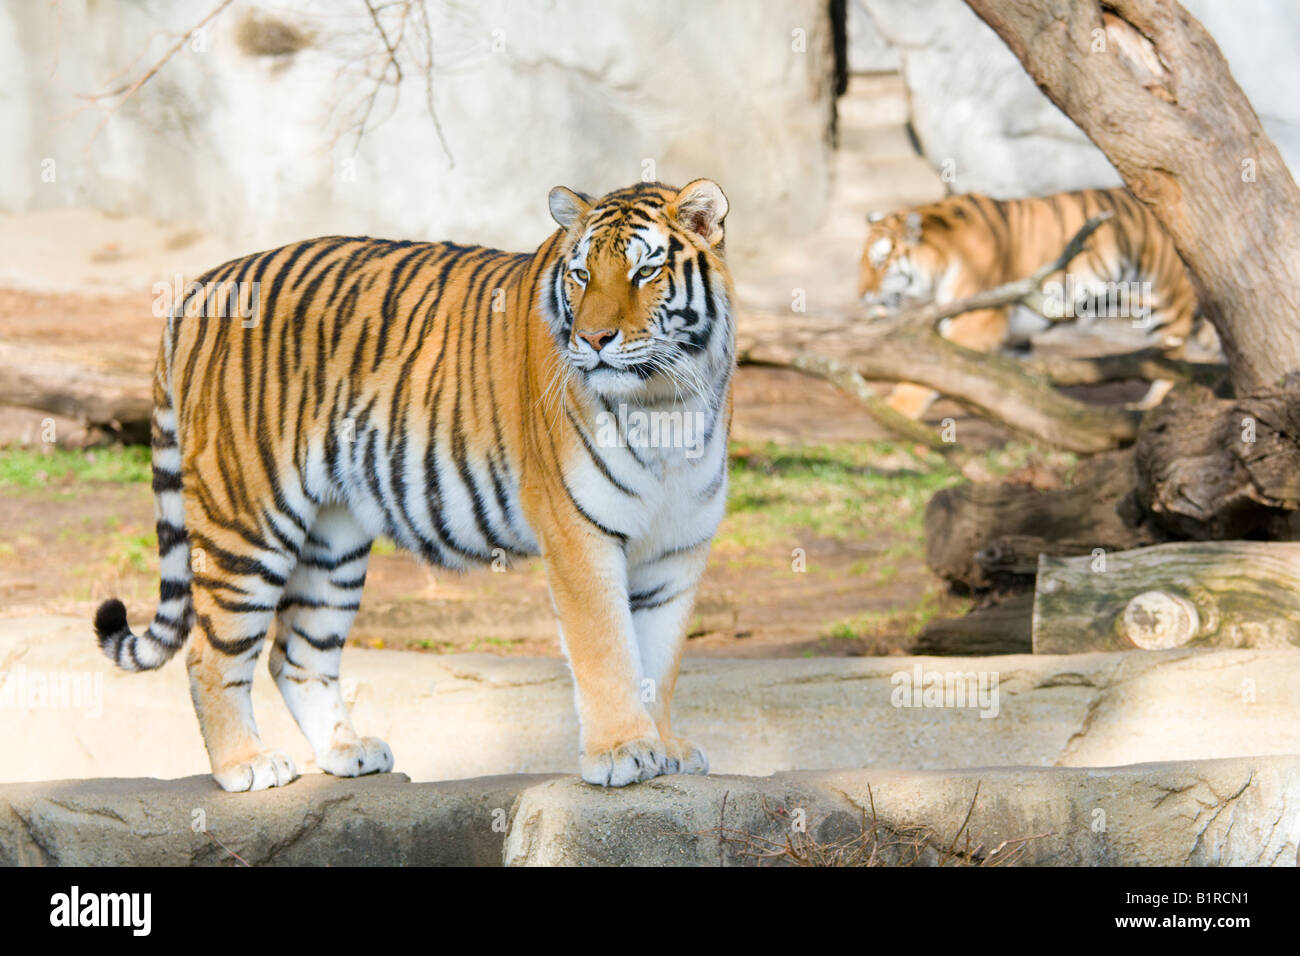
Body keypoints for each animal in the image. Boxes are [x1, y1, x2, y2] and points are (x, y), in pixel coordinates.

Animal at [93, 179, 734, 792]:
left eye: (644, 272)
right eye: (580, 275)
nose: (594, 339)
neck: (665, 404)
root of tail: (203, 284)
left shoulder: (678, 550)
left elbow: (660, 662)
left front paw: (666, 749)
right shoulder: (580, 537)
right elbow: (608, 653)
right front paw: (623, 752)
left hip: (333, 540)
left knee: (296, 653)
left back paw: (347, 751)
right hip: (245, 521)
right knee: (210, 653)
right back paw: (245, 765)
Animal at [858, 187, 1201, 418]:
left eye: (879, 263)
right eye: (862, 263)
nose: (862, 296)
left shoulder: (978, 320)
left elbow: (931, 369)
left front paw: (895, 409)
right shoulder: (1011, 338)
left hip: (1166, 301)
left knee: (1173, 359)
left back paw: (1151, 406)